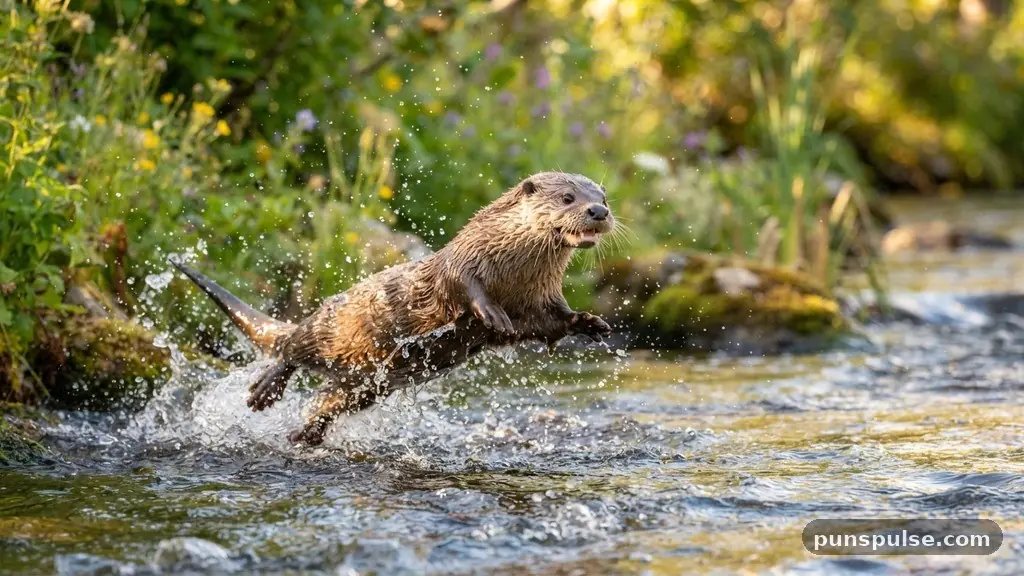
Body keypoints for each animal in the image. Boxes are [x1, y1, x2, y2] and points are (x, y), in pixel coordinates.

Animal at [174, 172, 614, 446]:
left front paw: (588, 322)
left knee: (326, 401)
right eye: (568, 197)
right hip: (330, 327)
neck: (512, 272)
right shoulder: (462, 261)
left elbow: (549, 324)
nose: (599, 211)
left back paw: (305, 435)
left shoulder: (541, 298)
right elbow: (463, 286)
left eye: (604, 197)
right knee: (293, 346)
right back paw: (265, 390)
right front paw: (490, 312)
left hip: (363, 385)